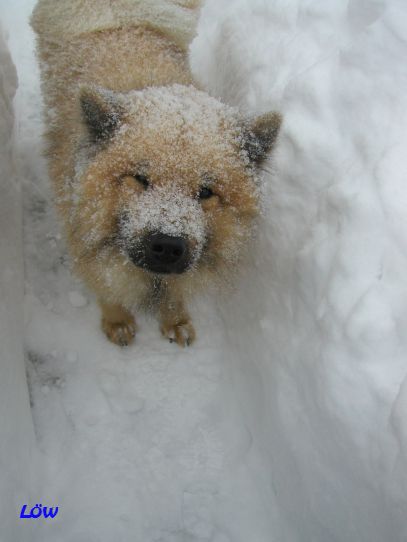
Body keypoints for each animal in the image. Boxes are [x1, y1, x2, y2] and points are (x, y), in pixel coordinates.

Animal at [31, 0, 282, 348]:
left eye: (206, 192)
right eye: (139, 178)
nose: (167, 245)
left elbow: (175, 296)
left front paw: (175, 320)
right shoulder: (81, 230)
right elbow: (106, 285)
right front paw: (118, 321)